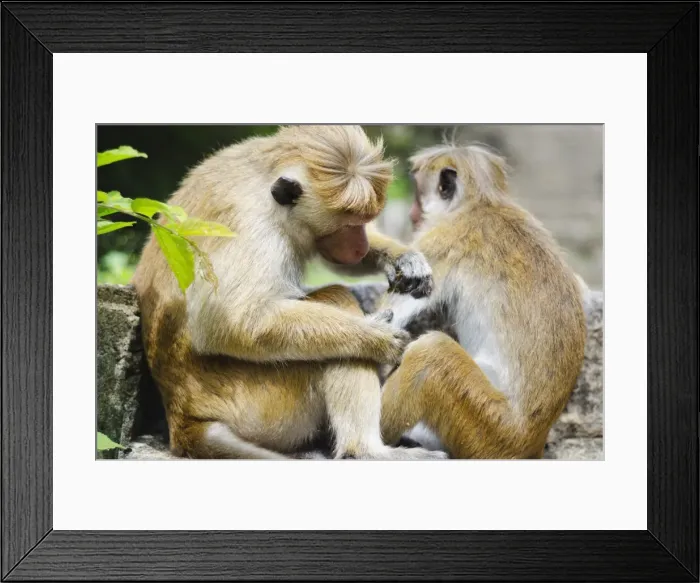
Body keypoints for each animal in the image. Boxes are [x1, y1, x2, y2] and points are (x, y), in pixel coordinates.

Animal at [132, 125, 447, 461]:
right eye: (349, 225)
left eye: (363, 223)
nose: (361, 246)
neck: (263, 186)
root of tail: (183, 416)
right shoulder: (251, 227)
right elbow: (228, 323)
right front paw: (375, 338)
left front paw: (405, 259)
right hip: (262, 403)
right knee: (335, 301)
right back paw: (366, 451)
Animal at [376, 142, 587, 459]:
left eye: (417, 194)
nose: (413, 214)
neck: (481, 201)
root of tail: (530, 444)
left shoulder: (443, 239)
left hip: (488, 430)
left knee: (431, 353)